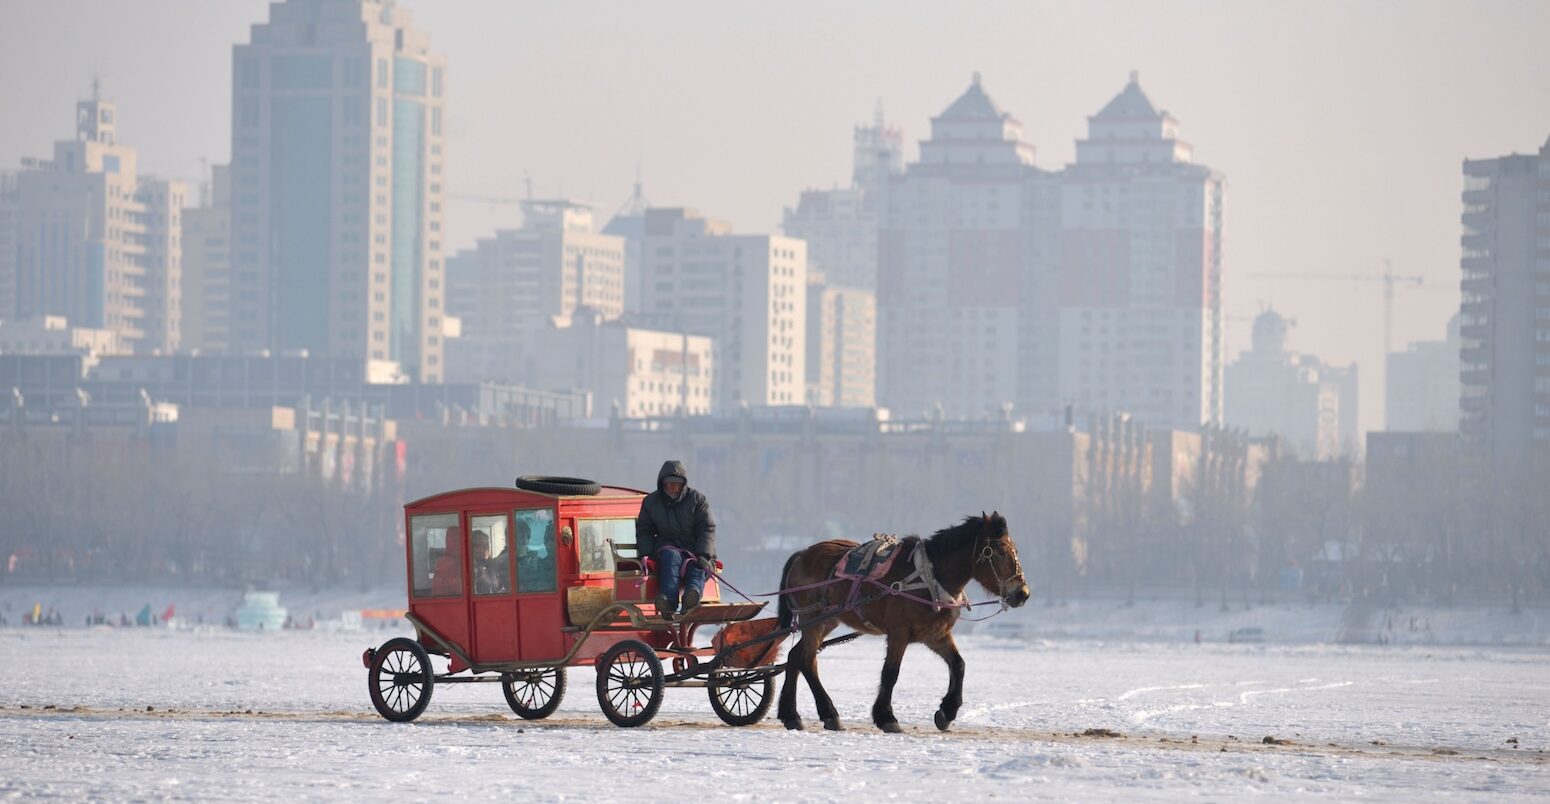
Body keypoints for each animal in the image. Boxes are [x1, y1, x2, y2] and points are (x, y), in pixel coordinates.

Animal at [771, 514, 1029, 734]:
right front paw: (886, 717)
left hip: (827, 620)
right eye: (998, 552)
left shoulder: (935, 635)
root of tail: (802, 553)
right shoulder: (898, 633)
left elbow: (959, 665)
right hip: (812, 618)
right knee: (808, 660)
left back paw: (791, 715)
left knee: (796, 656)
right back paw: (829, 714)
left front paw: (947, 712)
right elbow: (891, 673)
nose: (1022, 593)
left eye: (1015, 550)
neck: (929, 578)